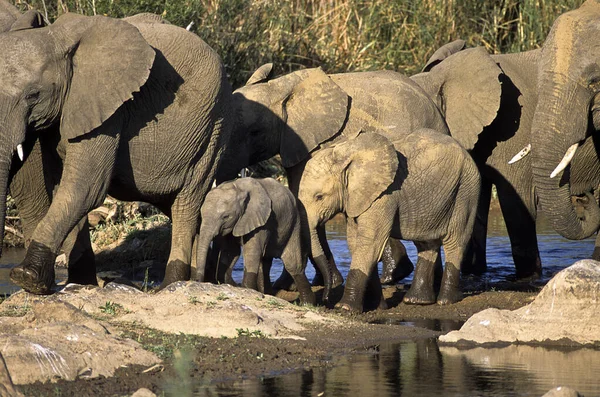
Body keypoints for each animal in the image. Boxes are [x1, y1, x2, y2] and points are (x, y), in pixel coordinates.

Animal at [3, 11, 231, 294]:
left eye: (33, 95)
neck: (58, 38)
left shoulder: (110, 113)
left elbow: (85, 188)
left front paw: (26, 278)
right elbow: (61, 188)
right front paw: (79, 285)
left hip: (213, 129)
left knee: (186, 204)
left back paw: (173, 285)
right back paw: (203, 280)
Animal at [198, 176, 318, 304]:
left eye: (226, 216)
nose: (199, 282)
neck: (238, 188)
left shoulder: (261, 219)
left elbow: (251, 251)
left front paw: (247, 289)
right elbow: (231, 251)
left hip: (294, 222)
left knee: (292, 263)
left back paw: (307, 303)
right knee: (264, 262)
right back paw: (267, 293)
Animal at [300, 130, 482, 312]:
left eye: (319, 197)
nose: (325, 299)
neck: (348, 155)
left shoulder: (384, 196)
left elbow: (370, 242)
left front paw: (345, 308)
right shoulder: (356, 198)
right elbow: (355, 242)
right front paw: (378, 307)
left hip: (465, 189)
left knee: (455, 240)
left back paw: (446, 300)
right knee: (426, 243)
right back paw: (416, 300)